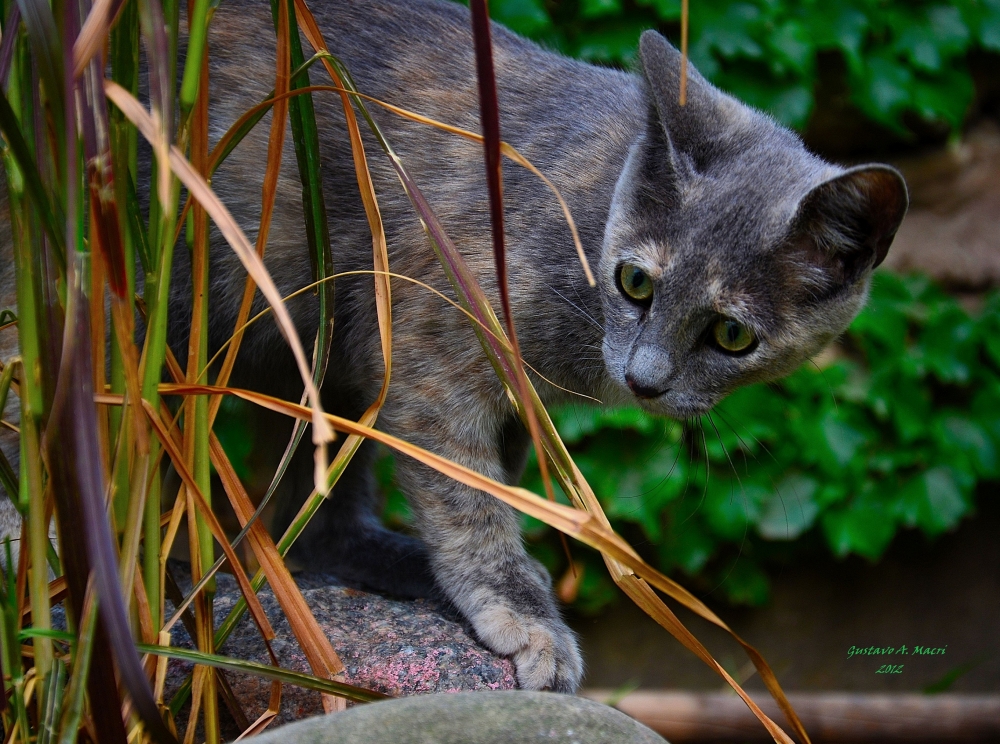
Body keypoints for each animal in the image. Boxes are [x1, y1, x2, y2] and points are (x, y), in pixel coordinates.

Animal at [0, 0, 908, 692]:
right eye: (635, 282)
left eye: (731, 334)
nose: (644, 377)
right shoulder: (437, 350)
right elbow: (468, 495)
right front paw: (526, 619)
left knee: (313, 512)